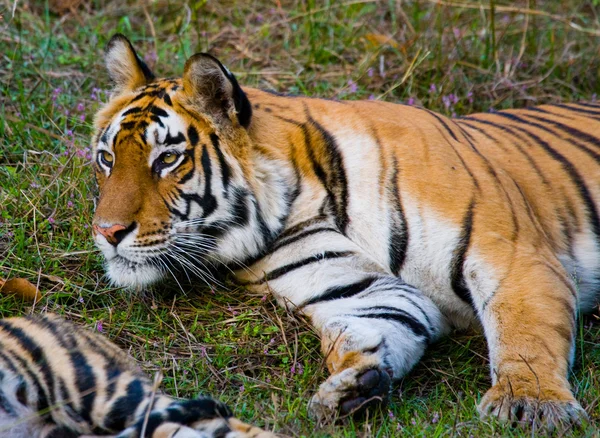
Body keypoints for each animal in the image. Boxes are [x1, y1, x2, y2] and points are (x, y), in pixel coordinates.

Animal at [90, 33, 600, 428]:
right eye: (106, 158)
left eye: (167, 159)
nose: (107, 231)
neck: (302, 200)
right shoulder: (361, 291)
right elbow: (366, 328)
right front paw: (354, 383)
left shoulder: (512, 257)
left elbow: (524, 333)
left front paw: (530, 406)